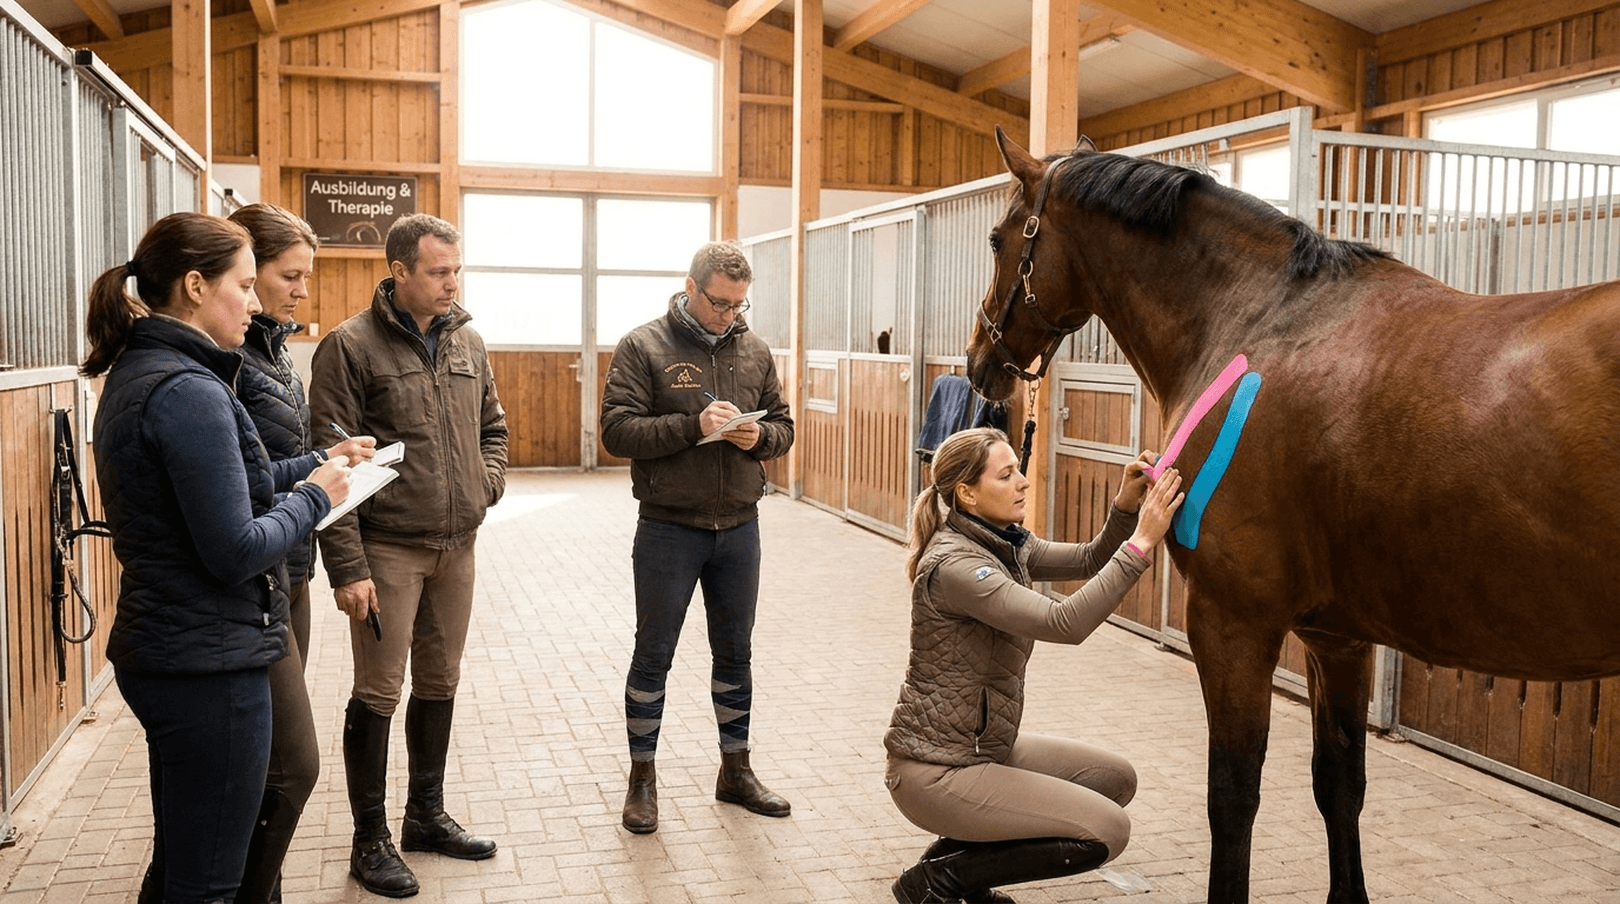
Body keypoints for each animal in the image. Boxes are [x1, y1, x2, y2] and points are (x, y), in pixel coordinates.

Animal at [967, 127, 1620, 904]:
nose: (979, 362)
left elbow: (1233, 795)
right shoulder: (1336, 636)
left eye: (1000, 237)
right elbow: (1339, 783)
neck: (1256, 320)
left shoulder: (1232, 621)